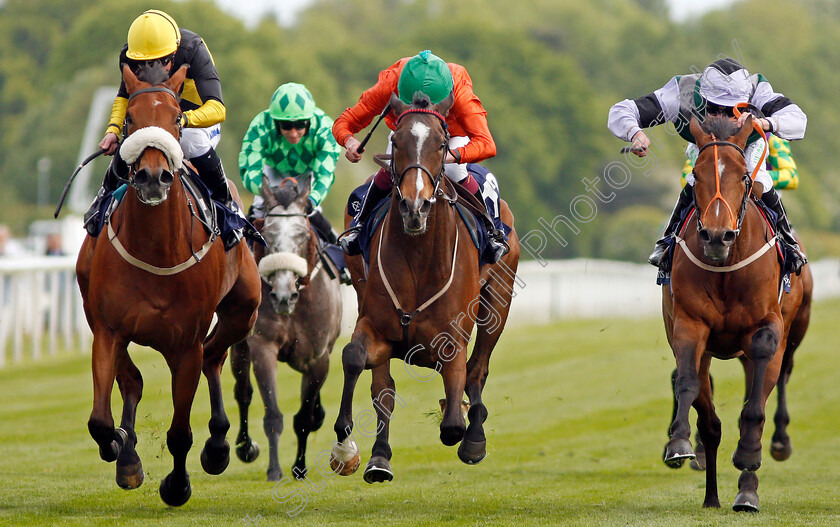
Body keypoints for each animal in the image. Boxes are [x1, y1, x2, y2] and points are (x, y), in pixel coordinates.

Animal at [75, 63, 260, 508]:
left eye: (177, 118)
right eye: (129, 119)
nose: (152, 177)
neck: (157, 248)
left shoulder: (185, 344)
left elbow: (180, 433)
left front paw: (177, 486)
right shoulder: (108, 329)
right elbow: (100, 421)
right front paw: (120, 448)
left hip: (243, 311)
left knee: (214, 356)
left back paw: (218, 447)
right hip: (95, 313)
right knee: (134, 381)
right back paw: (129, 457)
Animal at [230, 175, 342, 480]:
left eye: (302, 235)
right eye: (268, 235)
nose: (283, 296)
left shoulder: (318, 358)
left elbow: (304, 417)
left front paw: (300, 467)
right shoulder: (263, 348)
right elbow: (273, 415)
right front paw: (275, 469)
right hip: (239, 346)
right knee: (243, 393)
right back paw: (246, 447)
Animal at [328, 92, 520, 482]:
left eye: (441, 144)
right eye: (397, 141)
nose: (414, 206)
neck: (417, 258)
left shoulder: (453, 338)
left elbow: (454, 416)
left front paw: (464, 426)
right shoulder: (376, 325)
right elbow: (357, 361)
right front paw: (346, 446)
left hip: (499, 298)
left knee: (479, 368)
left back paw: (474, 438)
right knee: (382, 387)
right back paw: (379, 458)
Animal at [668, 114, 812, 512]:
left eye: (745, 177)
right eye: (696, 175)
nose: (718, 236)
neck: (726, 268)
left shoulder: (766, 330)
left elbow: (753, 409)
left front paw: (749, 455)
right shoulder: (690, 323)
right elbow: (687, 384)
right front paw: (678, 443)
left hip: (793, 331)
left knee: (776, 381)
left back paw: (751, 485)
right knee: (710, 421)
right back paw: (713, 496)